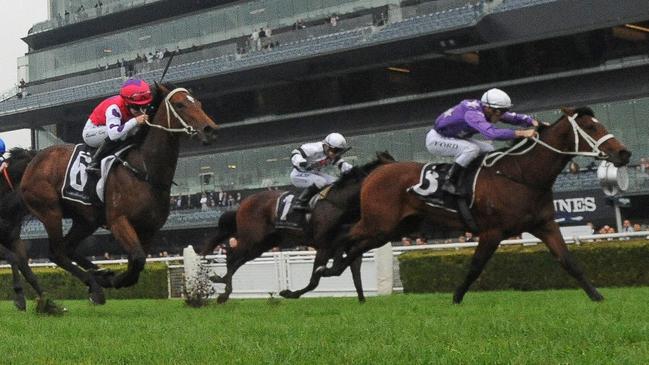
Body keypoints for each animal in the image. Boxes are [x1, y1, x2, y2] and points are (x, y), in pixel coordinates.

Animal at [19, 83, 218, 304]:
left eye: (198, 102)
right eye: (180, 105)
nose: (210, 130)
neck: (145, 170)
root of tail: (33, 159)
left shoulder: (149, 229)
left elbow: (137, 263)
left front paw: (111, 277)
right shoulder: (118, 221)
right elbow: (137, 259)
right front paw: (113, 281)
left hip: (86, 220)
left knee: (68, 247)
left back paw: (99, 274)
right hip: (50, 211)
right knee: (57, 252)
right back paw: (96, 284)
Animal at [202, 151, 394, 302]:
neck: (341, 203)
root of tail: (243, 203)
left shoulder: (346, 245)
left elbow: (351, 273)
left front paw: (362, 300)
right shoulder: (325, 246)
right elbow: (315, 280)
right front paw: (289, 293)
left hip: (263, 244)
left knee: (238, 261)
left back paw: (220, 281)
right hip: (252, 238)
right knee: (232, 257)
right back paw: (224, 292)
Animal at [318, 106, 628, 302]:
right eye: (590, 127)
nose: (624, 154)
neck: (521, 175)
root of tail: (379, 170)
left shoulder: (545, 225)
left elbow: (569, 262)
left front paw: (597, 297)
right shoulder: (492, 231)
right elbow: (476, 266)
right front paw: (456, 298)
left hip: (392, 229)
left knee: (356, 245)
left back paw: (334, 267)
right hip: (378, 222)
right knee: (344, 236)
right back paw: (325, 267)